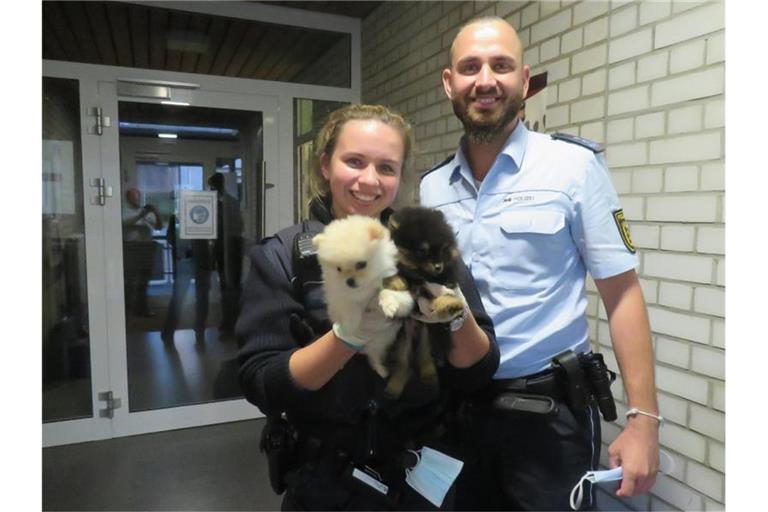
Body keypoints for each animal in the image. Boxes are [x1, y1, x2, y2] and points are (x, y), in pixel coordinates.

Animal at [382, 206, 464, 398]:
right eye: (422, 251)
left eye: (442, 249)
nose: (438, 266)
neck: (419, 275)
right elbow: (392, 274)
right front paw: (396, 282)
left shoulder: (447, 278)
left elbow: (448, 291)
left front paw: (451, 304)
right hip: (403, 339)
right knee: (404, 365)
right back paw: (393, 388)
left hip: (429, 333)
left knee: (425, 356)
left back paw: (429, 374)